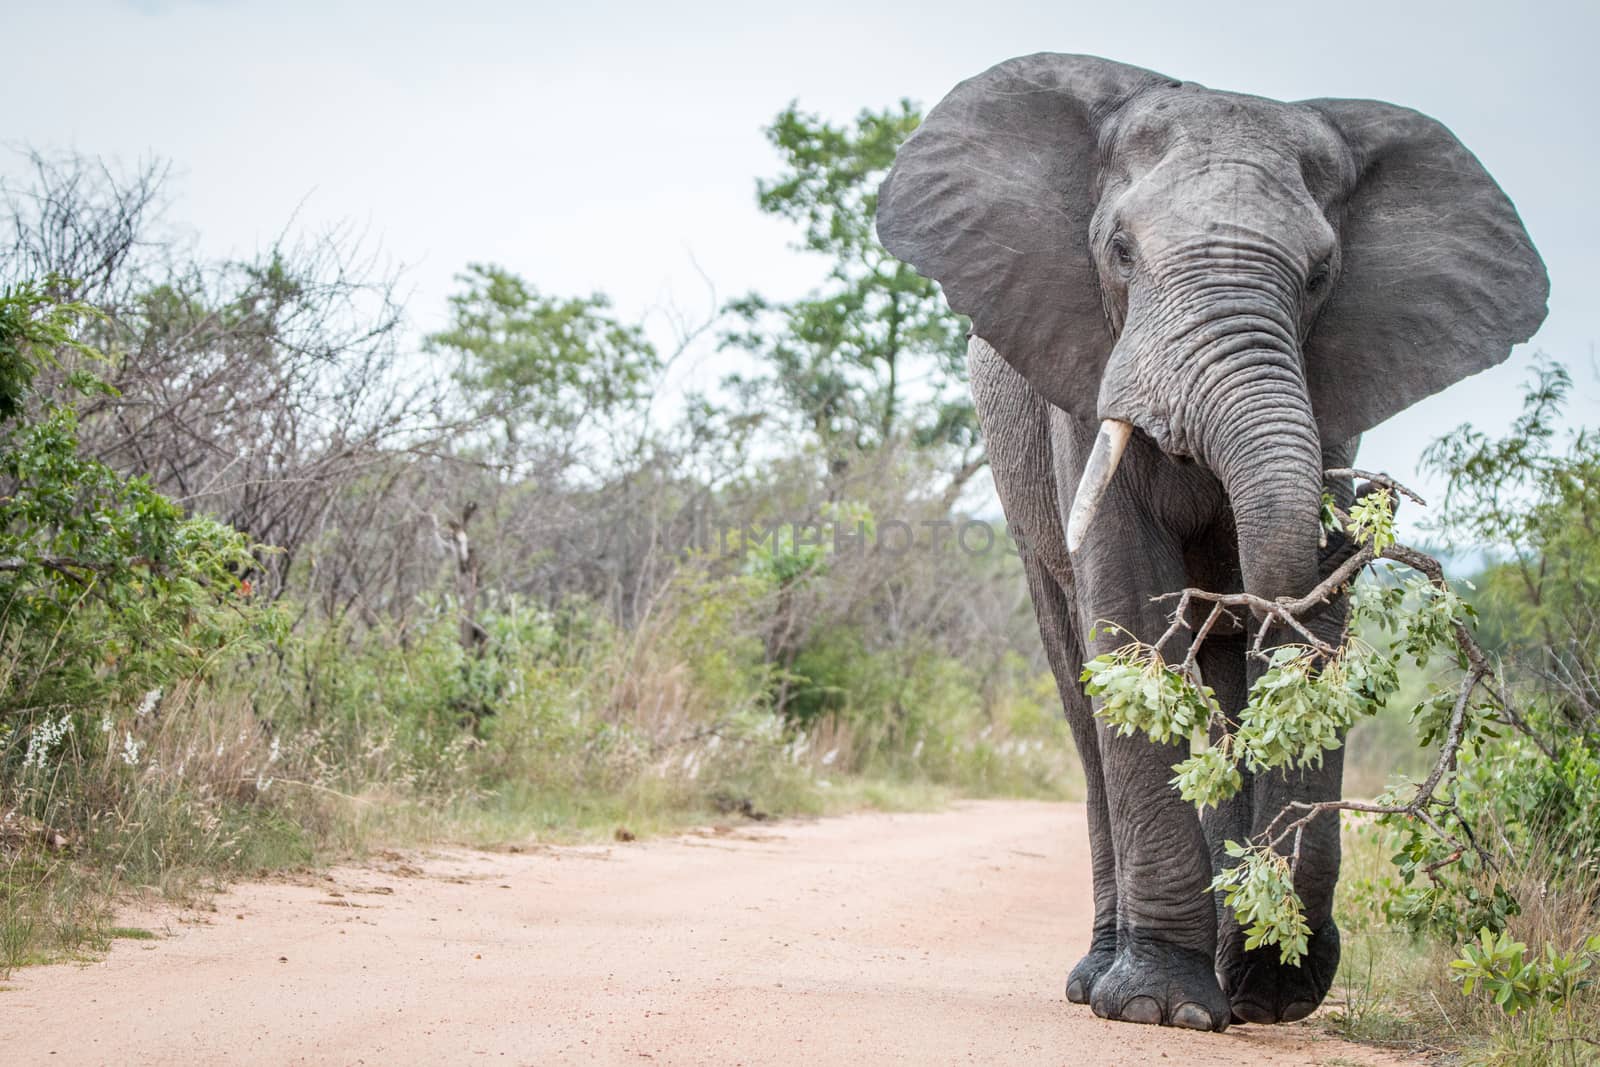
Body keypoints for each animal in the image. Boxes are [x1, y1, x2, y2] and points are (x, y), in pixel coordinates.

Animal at [876, 54, 1548, 1030]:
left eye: (1321, 273)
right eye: (1121, 252)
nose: (1372, 500)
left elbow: (1290, 611)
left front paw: (1269, 984)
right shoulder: (1083, 372)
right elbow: (1123, 603)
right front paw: (1163, 1006)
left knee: (1224, 675)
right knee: (1079, 685)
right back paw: (1103, 979)